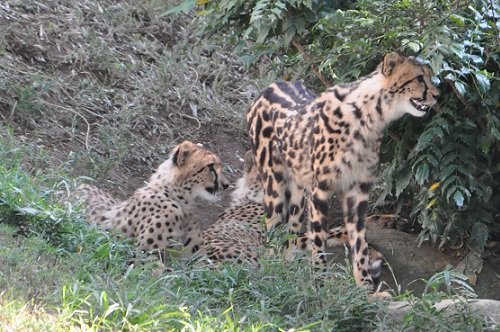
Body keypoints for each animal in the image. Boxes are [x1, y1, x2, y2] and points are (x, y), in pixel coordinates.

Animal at [246, 53, 438, 290]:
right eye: (419, 78)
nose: (437, 96)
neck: (371, 116)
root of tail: (272, 85)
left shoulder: (358, 191)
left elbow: (360, 241)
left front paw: (365, 285)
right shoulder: (319, 189)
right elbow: (318, 237)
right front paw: (319, 280)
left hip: (298, 189)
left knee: (291, 233)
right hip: (275, 182)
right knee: (273, 229)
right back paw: (274, 268)